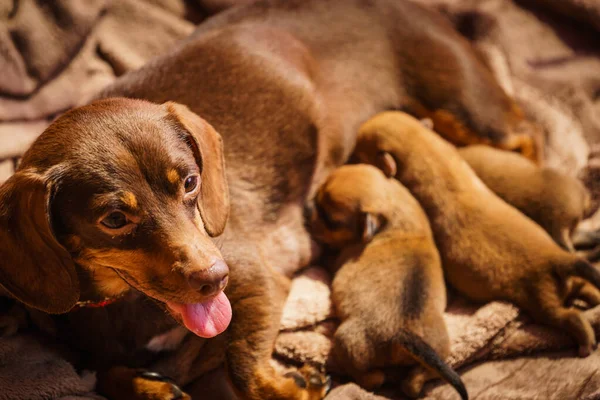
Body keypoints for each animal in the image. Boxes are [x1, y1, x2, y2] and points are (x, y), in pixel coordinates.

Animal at [308, 164, 466, 398]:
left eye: (331, 221)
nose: (307, 210)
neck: (392, 211)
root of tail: (402, 334)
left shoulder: (339, 256)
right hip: (442, 351)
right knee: (415, 380)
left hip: (347, 341)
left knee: (372, 378)